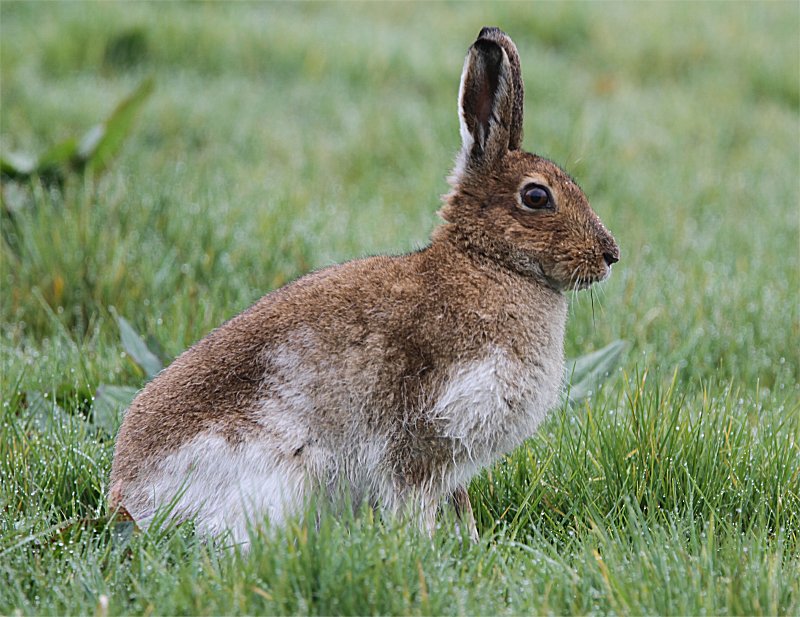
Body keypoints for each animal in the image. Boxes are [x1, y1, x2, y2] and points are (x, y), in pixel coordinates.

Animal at [109, 26, 619, 547]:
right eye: (536, 196)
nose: (610, 255)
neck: (489, 262)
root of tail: (129, 495)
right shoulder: (427, 430)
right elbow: (413, 496)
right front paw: (428, 546)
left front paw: (469, 542)